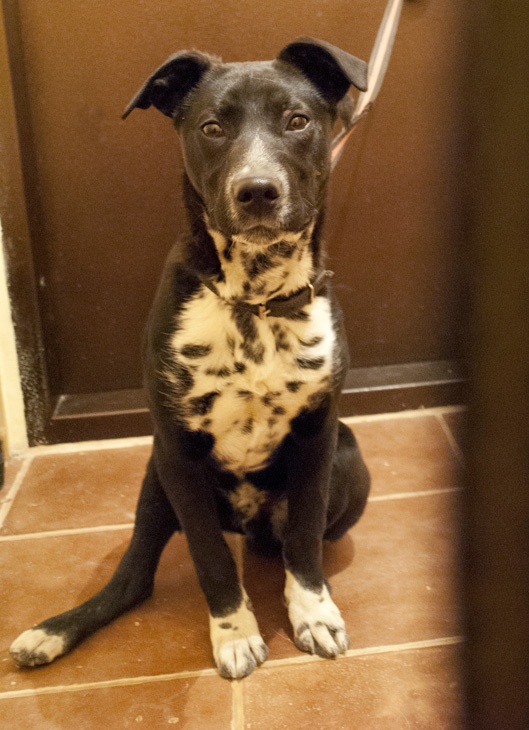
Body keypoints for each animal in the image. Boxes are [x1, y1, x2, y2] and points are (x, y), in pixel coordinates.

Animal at [10, 37, 371, 679]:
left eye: (297, 121)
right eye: (212, 127)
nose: (257, 190)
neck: (254, 300)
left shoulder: (319, 436)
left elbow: (304, 538)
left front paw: (312, 611)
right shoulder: (176, 450)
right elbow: (209, 557)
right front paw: (234, 632)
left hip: (350, 458)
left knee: (282, 542)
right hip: (155, 473)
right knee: (134, 579)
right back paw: (54, 632)